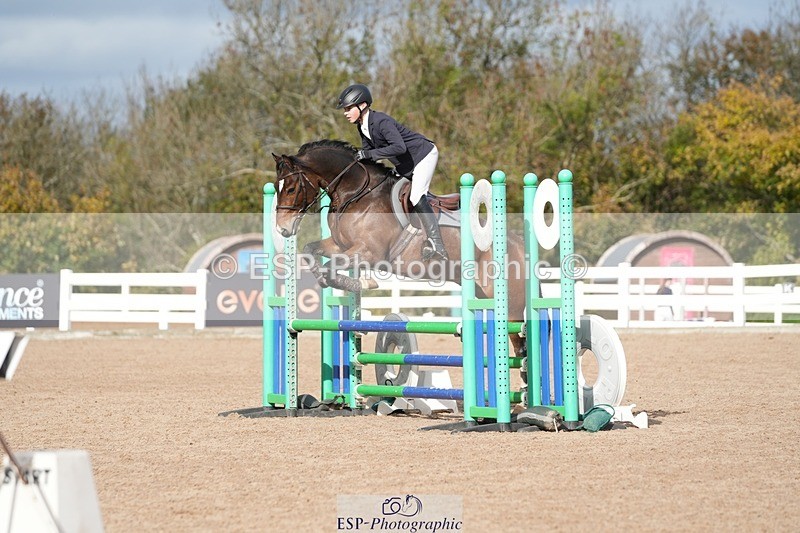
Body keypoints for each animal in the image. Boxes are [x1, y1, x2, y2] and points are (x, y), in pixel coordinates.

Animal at [271, 139, 528, 359]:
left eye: (291, 189)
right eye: (276, 187)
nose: (282, 228)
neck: (356, 194)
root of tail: (518, 242)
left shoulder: (369, 252)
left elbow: (331, 266)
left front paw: (362, 283)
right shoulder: (339, 245)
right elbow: (310, 250)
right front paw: (335, 281)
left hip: (509, 304)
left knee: (519, 342)